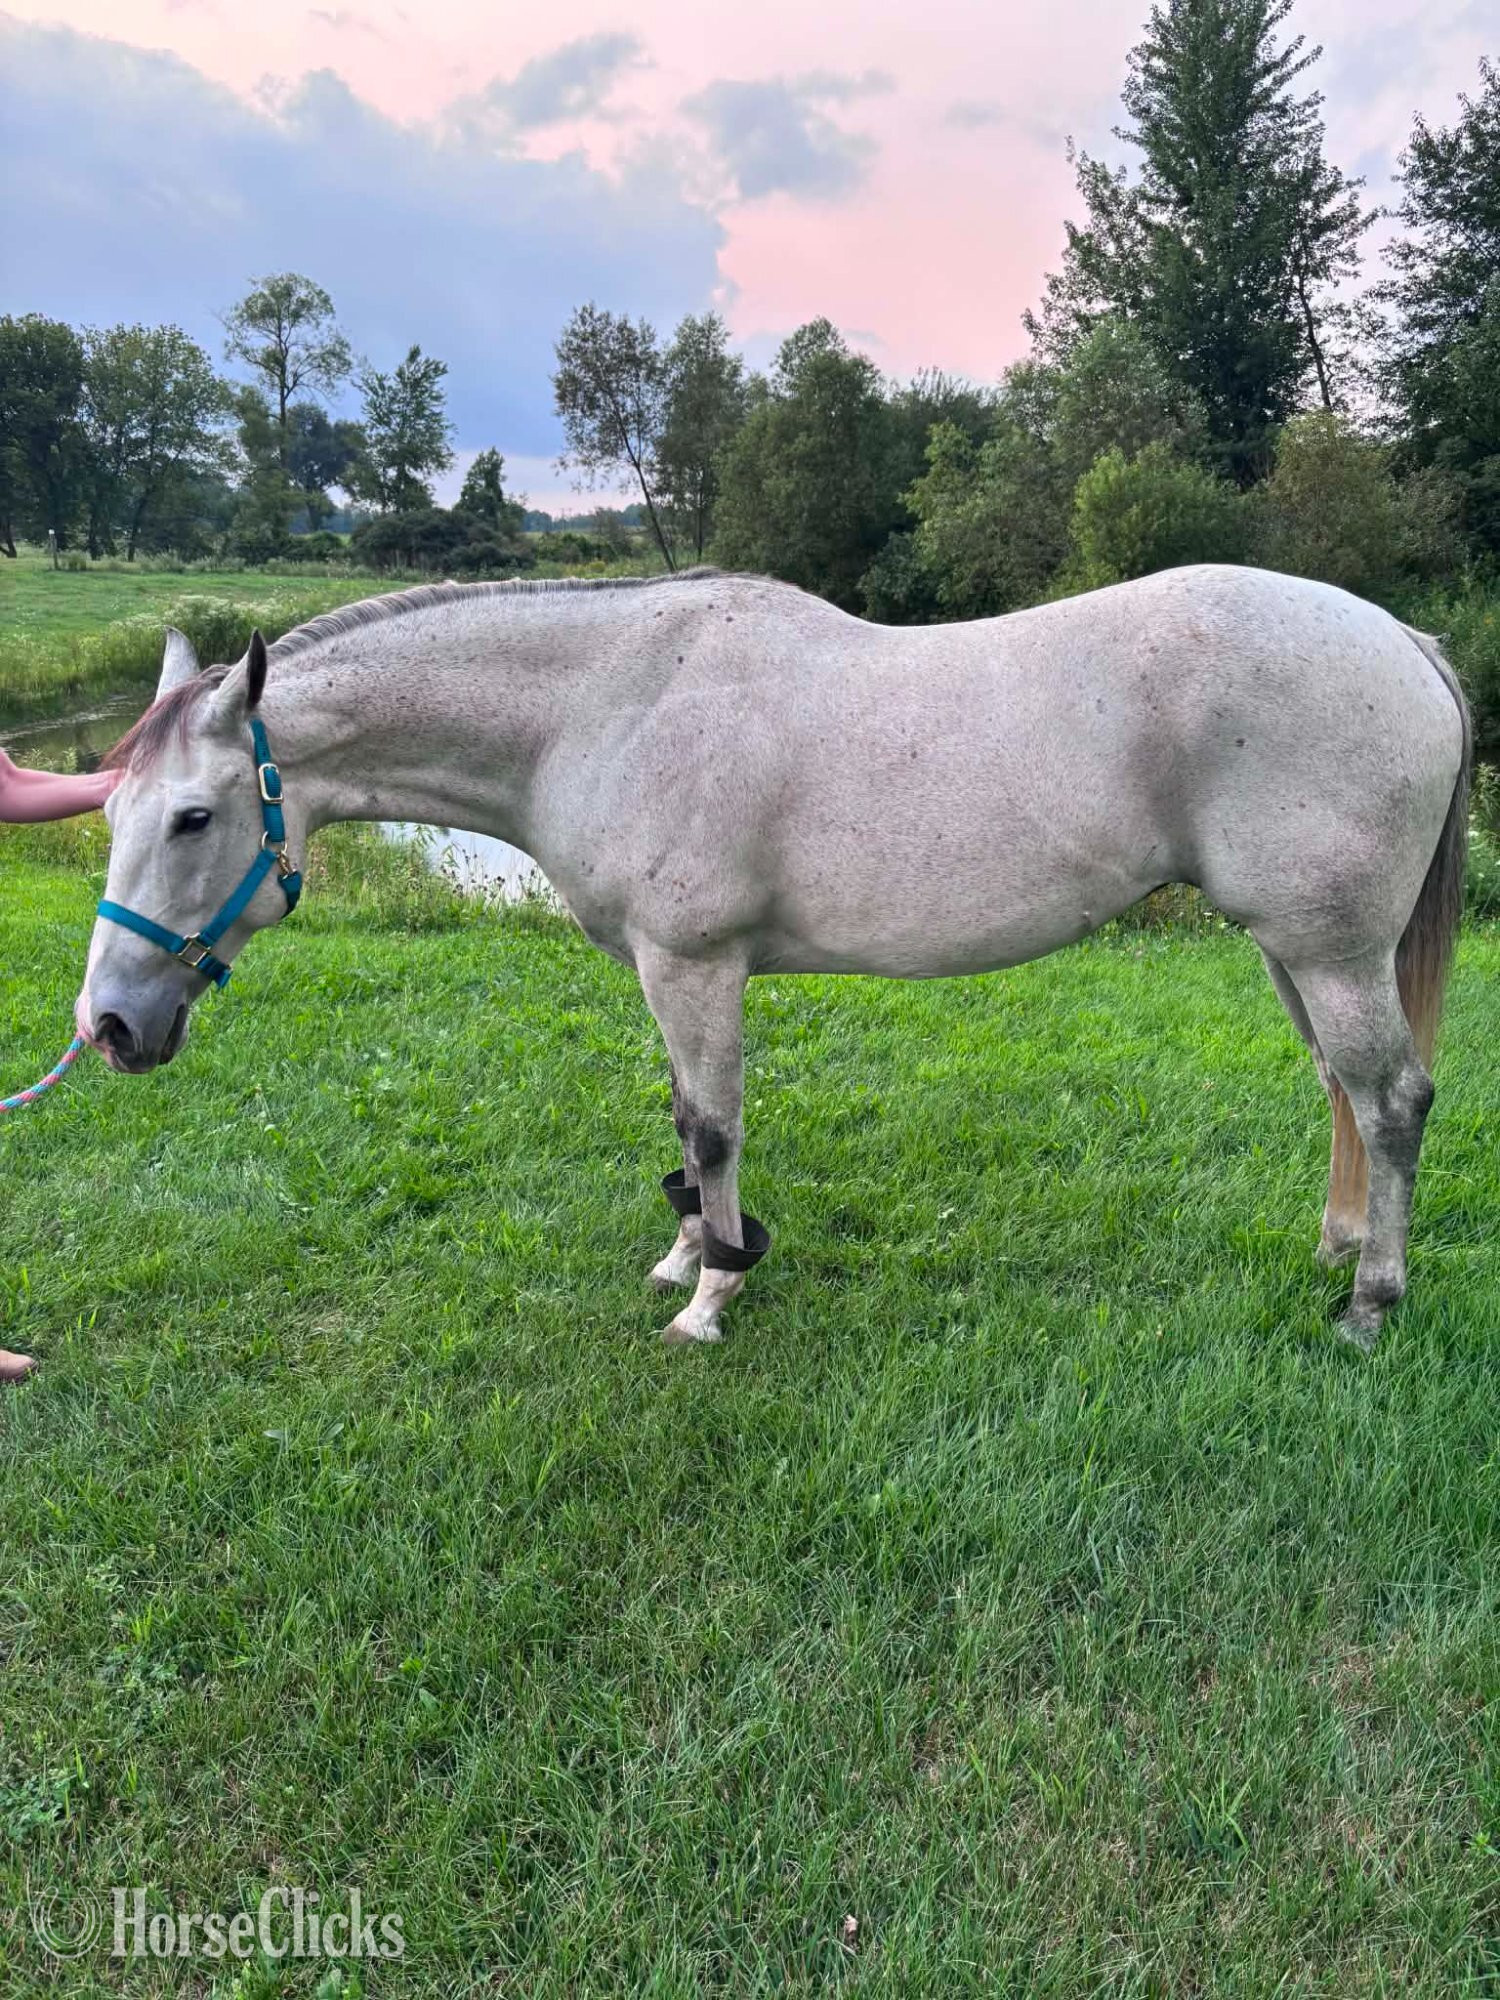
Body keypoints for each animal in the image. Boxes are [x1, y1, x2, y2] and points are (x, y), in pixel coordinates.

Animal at [76, 564, 1469, 1350]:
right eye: (106, 806)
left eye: (191, 818)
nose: (110, 1025)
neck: (610, 704)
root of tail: (1408, 643)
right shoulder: (666, 968)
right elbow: (684, 1118)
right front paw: (687, 1251)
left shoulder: (694, 962)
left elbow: (712, 1125)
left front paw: (712, 1293)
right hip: (1296, 948)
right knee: (1342, 1090)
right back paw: (1340, 1248)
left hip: (1332, 948)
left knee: (1393, 1098)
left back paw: (1371, 1303)